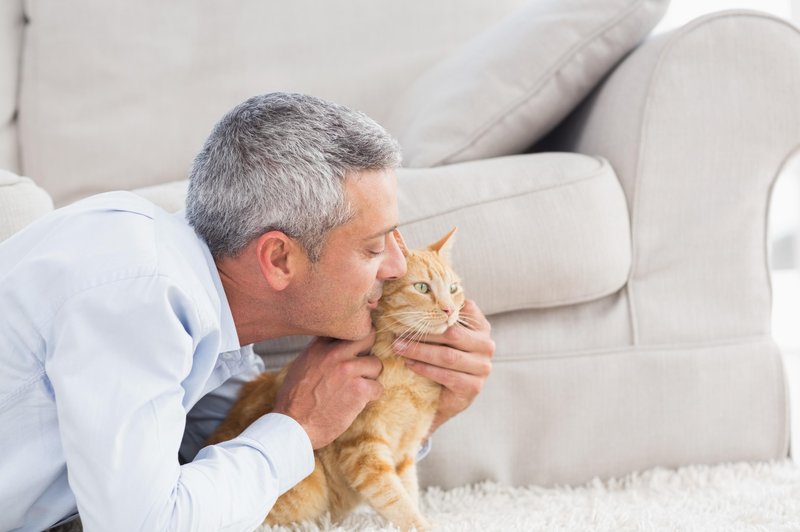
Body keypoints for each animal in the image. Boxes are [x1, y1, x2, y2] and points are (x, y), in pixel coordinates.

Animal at [209, 228, 466, 532]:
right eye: (423, 288)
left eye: (453, 289)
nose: (450, 310)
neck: (409, 380)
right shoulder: (363, 452)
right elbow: (397, 500)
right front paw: (424, 525)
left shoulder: (405, 452)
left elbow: (409, 491)